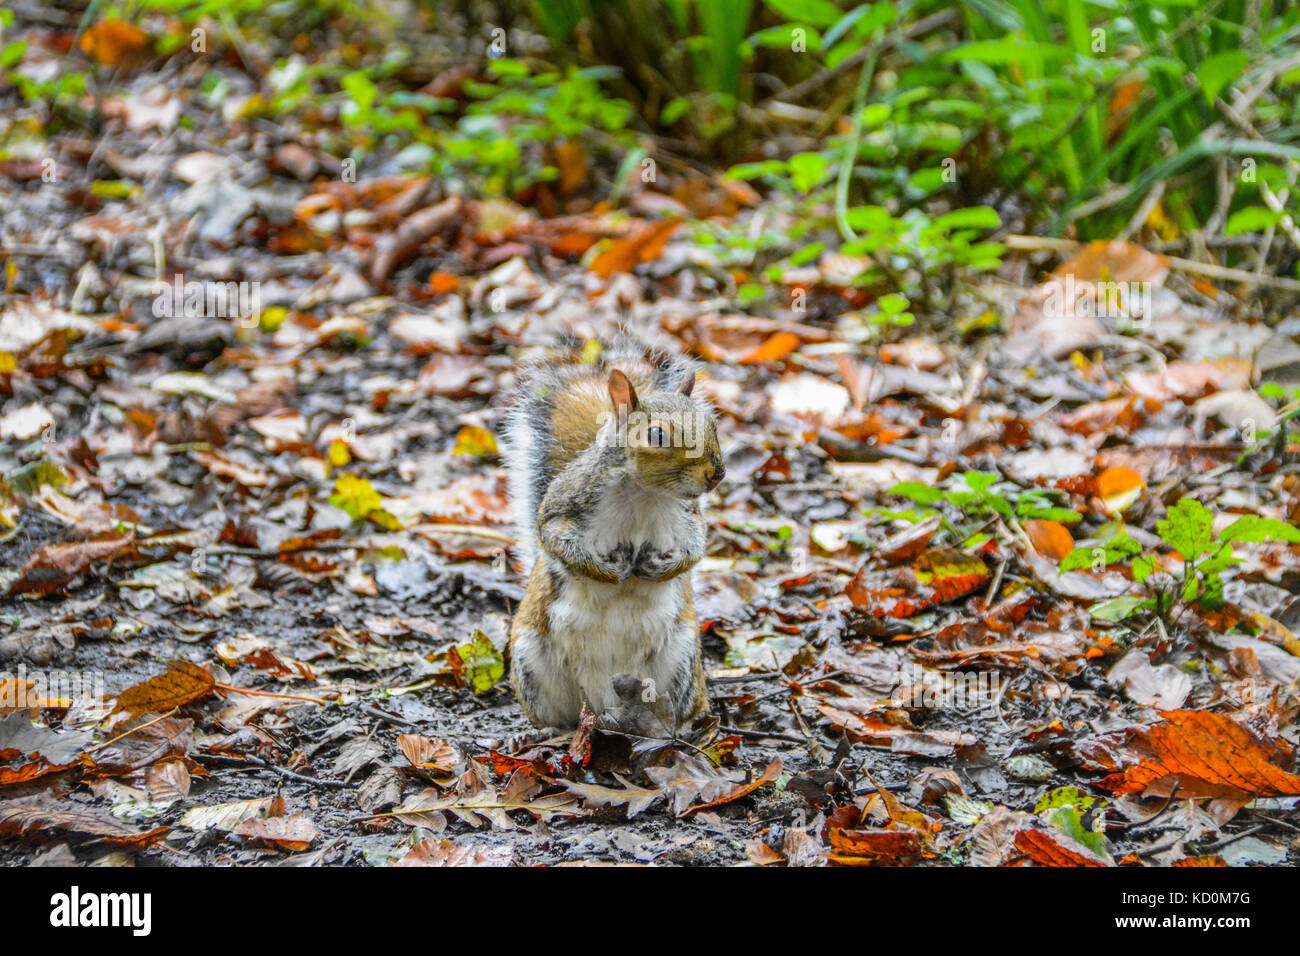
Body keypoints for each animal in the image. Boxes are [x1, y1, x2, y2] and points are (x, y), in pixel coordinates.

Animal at [499, 335, 722, 723]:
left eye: (712, 425)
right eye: (657, 435)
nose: (716, 473)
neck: (646, 494)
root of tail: (604, 702)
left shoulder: (688, 519)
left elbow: (694, 549)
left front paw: (661, 568)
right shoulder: (565, 506)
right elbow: (554, 537)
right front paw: (606, 571)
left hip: (681, 660)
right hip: (531, 661)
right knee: (560, 716)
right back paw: (557, 732)